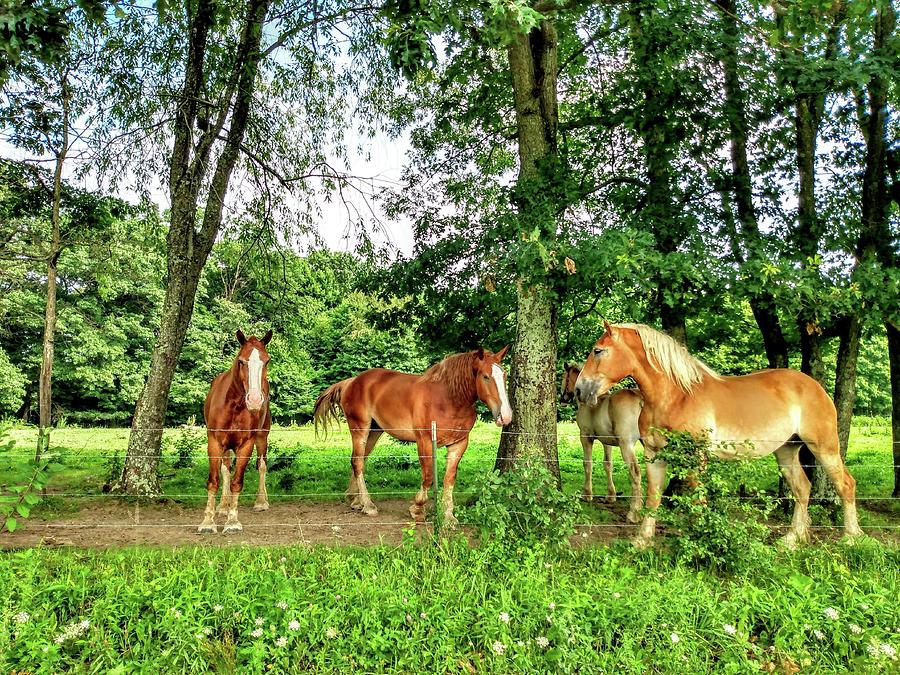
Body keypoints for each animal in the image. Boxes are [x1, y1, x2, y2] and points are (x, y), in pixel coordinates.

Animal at [195, 330, 268, 536]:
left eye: (266, 361)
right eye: (242, 361)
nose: (255, 400)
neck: (235, 405)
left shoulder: (246, 445)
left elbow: (237, 481)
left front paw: (233, 521)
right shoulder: (214, 442)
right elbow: (215, 480)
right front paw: (208, 521)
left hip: (262, 436)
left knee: (262, 465)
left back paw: (261, 501)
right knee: (225, 469)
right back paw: (222, 506)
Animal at [314, 348, 512, 528]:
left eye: (504, 375)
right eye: (485, 376)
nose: (506, 416)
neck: (448, 399)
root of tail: (351, 382)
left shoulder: (459, 444)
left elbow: (449, 479)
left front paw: (448, 517)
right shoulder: (424, 441)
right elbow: (428, 476)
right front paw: (417, 509)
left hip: (374, 431)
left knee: (359, 460)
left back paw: (356, 501)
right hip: (360, 429)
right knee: (358, 462)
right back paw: (368, 505)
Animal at [560, 364, 644, 524]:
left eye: (564, 377)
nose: (562, 399)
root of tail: (640, 400)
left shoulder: (585, 436)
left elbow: (587, 463)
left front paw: (587, 494)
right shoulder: (607, 442)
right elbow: (608, 465)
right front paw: (611, 495)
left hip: (626, 445)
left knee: (635, 472)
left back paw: (634, 513)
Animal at [572, 322, 860, 548]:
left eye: (598, 350)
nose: (579, 390)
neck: (676, 396)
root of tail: (815, 386)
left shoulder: (696, 457)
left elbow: (698, 498)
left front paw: (701, 541)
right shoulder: (654, 454)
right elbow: (653, 496)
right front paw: (642, 539)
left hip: (824, 447)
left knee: (845, 484)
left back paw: (851, 537)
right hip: (787, 450)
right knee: (802, 489)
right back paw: (791, 540)